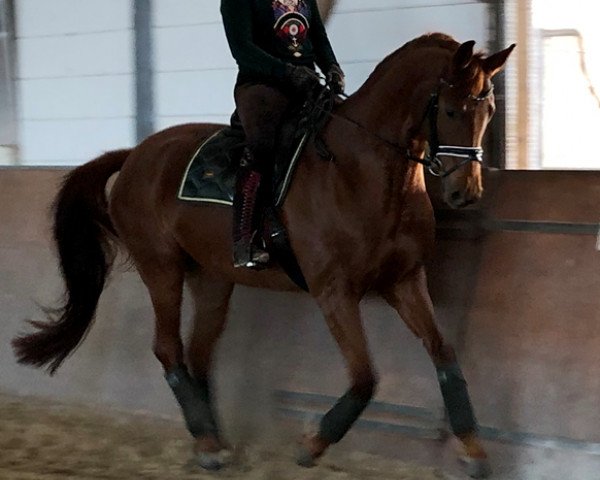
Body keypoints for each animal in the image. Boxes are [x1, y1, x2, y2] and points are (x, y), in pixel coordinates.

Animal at [12, 33, 510, 476]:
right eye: (450, 109)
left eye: (489, 109)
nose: (465, 193)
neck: (361, 171)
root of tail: (136, 153)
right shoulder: (334, 292)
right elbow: (365, 377)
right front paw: (311, 445)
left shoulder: (405, 280)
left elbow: (445, 355)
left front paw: (474, 453)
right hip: (162, 268)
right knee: (169, 349)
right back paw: (208, 446)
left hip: (212, 279)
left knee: (199, 355)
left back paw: (213, 440)